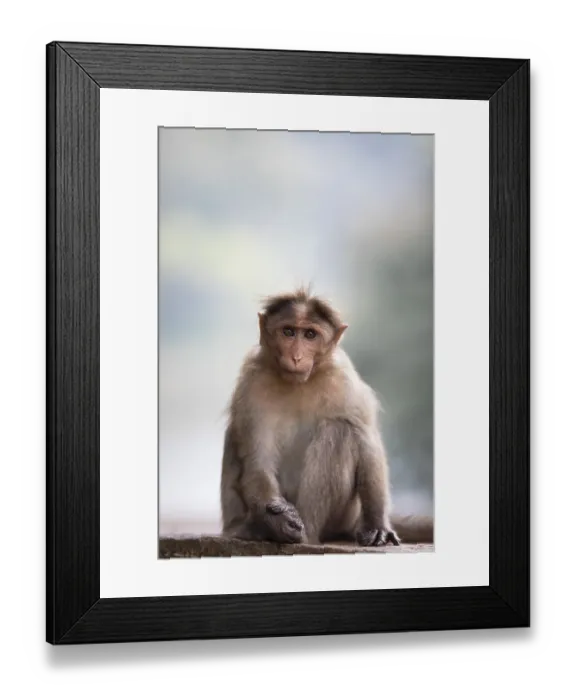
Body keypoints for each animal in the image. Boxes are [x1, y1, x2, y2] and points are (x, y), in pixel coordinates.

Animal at [219, 287, 433, 548]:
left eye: (310, 334)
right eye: (288, 331)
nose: (297, 356)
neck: (299, 383)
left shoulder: (344, 380)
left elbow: (368, 443)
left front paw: (377, 525)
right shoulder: (251, 384)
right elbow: (257, 459)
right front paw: (278, 519)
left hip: (342, 516)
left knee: (340, 429)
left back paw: (306, 535)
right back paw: (254, 528)